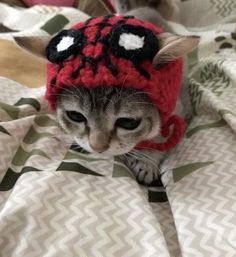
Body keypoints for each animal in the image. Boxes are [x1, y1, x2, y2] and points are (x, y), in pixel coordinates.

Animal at [14, 8, 199, 185]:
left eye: (128, 123)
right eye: (75, 116)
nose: (97, 147)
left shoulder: (180, 108)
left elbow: (162, 139)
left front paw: (146, 161)